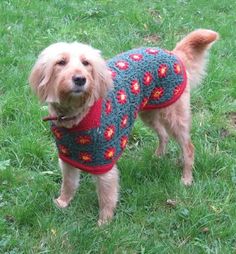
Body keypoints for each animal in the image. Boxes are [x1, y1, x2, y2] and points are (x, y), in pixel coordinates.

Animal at [29, 28, 218, 225]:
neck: (77, 115)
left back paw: (187, 178)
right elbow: (68, 184)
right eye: (61, 62)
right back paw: (158, 155)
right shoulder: (67, 157)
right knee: (163, 134)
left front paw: (104, 222)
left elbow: (107, 197)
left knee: (188, 148)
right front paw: (63, 202)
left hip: (174, 117)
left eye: (86, 63)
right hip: (148, 113)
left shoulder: (105, 164)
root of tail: (172, 53)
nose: (80, 79)